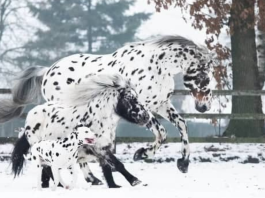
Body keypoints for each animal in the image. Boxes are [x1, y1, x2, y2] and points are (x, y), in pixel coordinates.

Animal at [0, 34, 212, 176]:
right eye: (206, 77)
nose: (204, 108)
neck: (156, 66)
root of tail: (47, 71)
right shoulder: (142, 108)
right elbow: (162, 133)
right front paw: (141, 154)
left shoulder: (161, 104)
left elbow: (182, 125)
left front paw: (183, 163)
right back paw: (90, 176)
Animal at [11, 73, 165, 188]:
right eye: (129, 98)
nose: (145, 117)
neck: (99, 119)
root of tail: (30, 117)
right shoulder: (100, 148)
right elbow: (117, 164)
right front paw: (135, 181)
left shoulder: (103, 148)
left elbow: (107, 169)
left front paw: (113, 186)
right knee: (48, 169)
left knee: (47, 171)